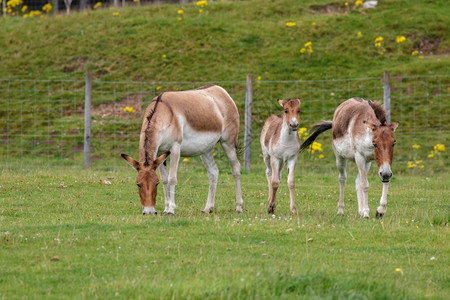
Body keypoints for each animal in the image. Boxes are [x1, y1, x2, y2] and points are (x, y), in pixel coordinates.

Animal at [120, 85, 243, 216]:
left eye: (155, 184)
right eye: (138, 184)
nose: (149, 212)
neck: (164, 113)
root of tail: (220, 90)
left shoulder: (175, 148)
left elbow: (172, 178)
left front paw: (171, 210)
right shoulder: (160, 153)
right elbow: (165, 180)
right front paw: (166, 209)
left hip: (228, 143)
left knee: (236, 169)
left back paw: (239, 207)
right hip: (206, 149)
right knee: (213, 172)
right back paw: (208, 208)